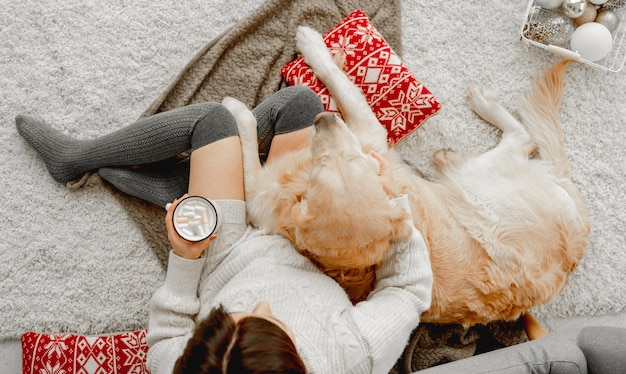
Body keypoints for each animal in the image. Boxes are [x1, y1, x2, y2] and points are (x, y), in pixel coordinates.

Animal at [222, 26, 588, 326]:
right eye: (325, 164)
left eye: (352, 158)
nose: (324, 118)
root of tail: (576, 244)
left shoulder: (363, 137)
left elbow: (254, 134)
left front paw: (311, 48)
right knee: (522, 139)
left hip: (481, 179)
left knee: (522, 139)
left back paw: (478, 112)